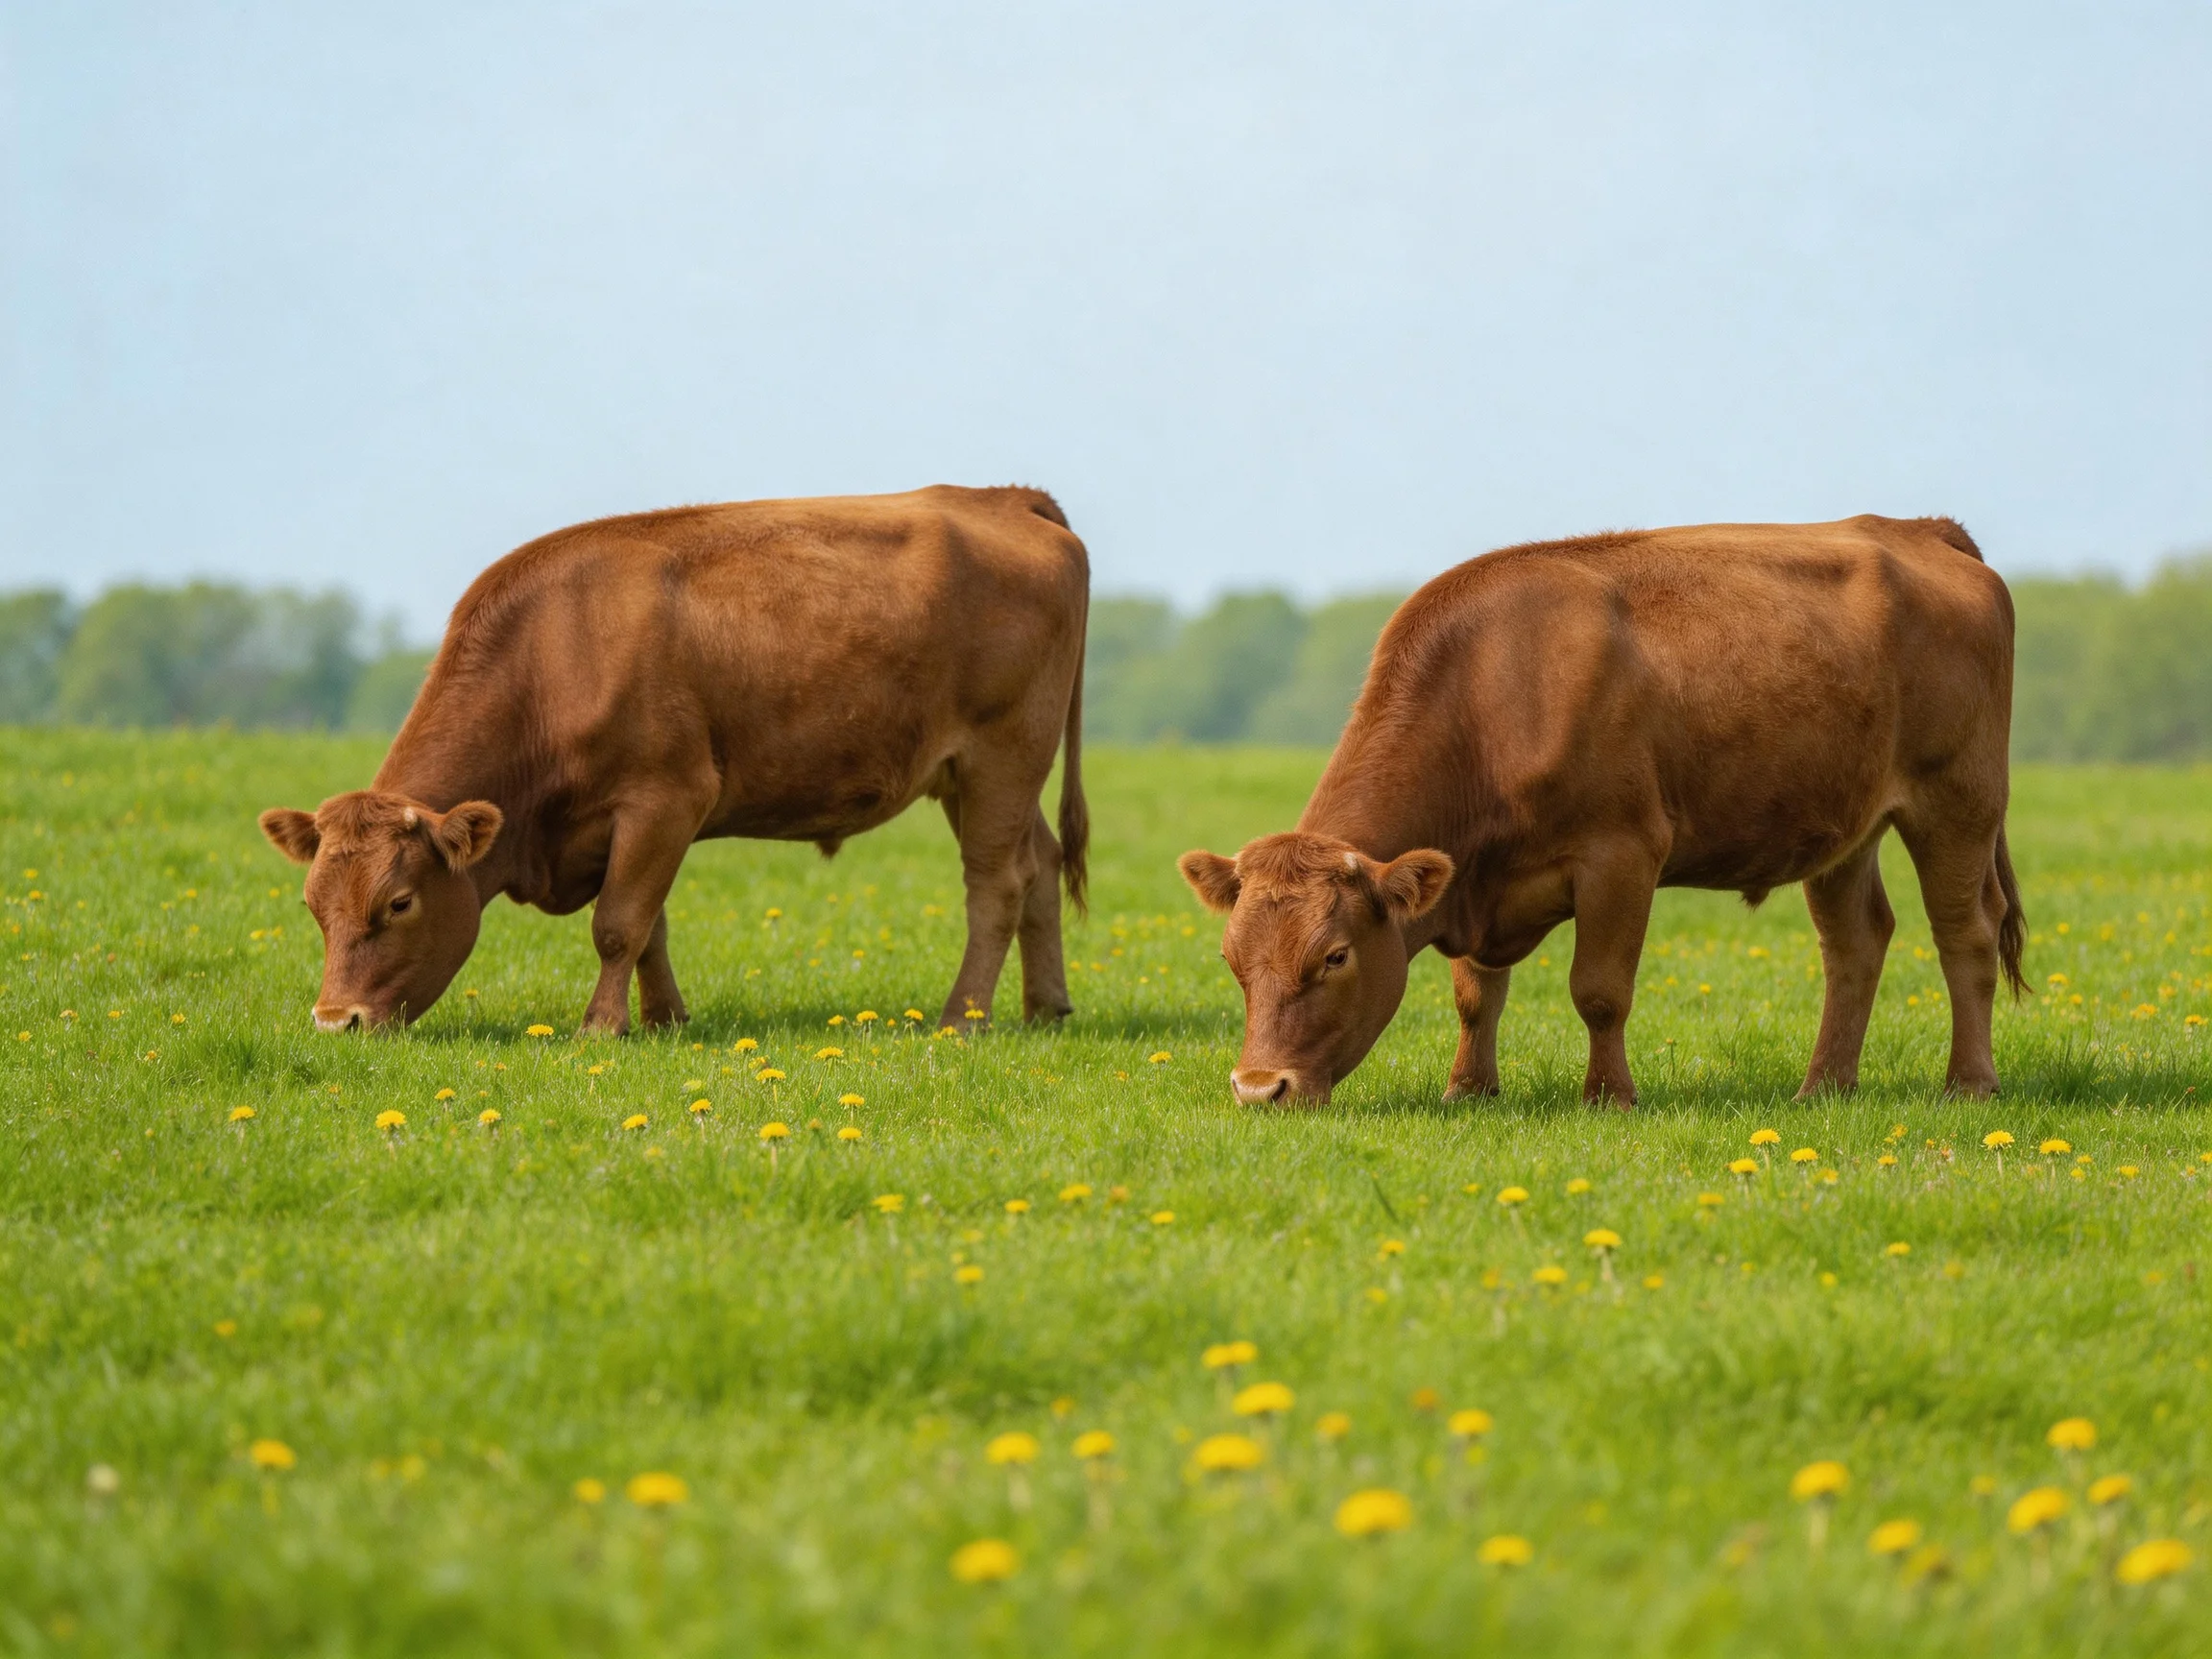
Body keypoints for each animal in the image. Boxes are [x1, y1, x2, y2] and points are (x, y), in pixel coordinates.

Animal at [260, 485, 1089, 1035]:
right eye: (311, 905)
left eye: (399, 903)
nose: (334, 1020)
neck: (556, 654)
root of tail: (1006, 498)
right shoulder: (635, 828)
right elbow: (650, 925)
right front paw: (664, 1019)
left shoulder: (665, 800)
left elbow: (618, 924)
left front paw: (601, 1027)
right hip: (975, 778)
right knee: (1042, 865)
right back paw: (1046, 1008)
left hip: (1003, 757)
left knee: (997, 885)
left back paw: (963, 1018)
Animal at [1179, 515, 2025, 1107]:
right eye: (1231, 959)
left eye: (1335, 956)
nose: (1259, 1088)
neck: (1494, 694)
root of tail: (1918, 528)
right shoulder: (1468, 874)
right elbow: (1475, 995)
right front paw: (1469, 1089)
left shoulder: (1621, 856)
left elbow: (1599, 990)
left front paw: (1609, 1096)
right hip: (1844, 829)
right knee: (1855, 943)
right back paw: (1823, 1087)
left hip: (1958, 802)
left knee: (1966, 934)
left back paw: (1969, 1084)